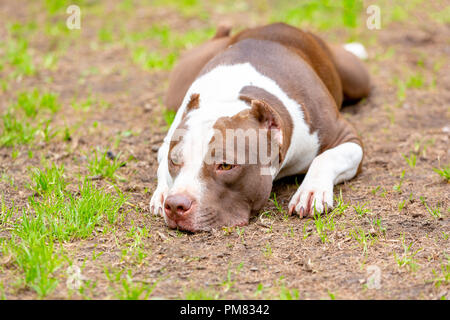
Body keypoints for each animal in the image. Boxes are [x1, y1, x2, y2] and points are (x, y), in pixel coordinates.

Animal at [149, 23, 370, 232]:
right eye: (174, 161)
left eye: (226, 166)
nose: (175, 205)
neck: (232, 97)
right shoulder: (168, 142)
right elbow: (161, 166)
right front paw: (162, 192)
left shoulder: (347, 137)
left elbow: (325, 158)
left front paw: (311, 191)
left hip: (357, 80)